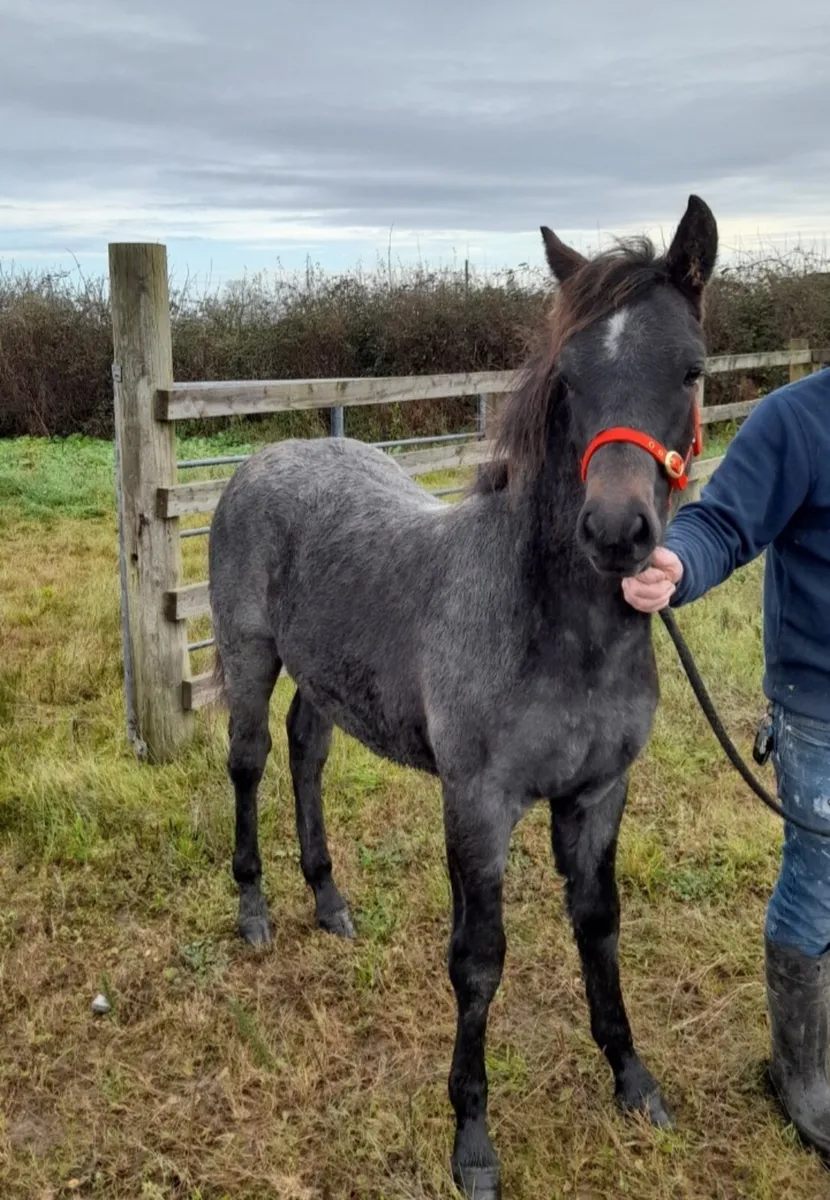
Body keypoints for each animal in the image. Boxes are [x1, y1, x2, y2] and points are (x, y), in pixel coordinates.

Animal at [208, 195, 718, 1199]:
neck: (556, 629)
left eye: (690, 369)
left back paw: (329, 901)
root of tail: (263, 457)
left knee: (306, 753)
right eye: (569, 375)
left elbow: (599, 929)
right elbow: (479, 961)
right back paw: (256, 911)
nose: (616, 532)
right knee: (249, 762)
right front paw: (472, 1141)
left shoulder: (597, 796)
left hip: (326, 679)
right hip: (249, 656)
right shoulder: (478, 804)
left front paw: (634, 1082)